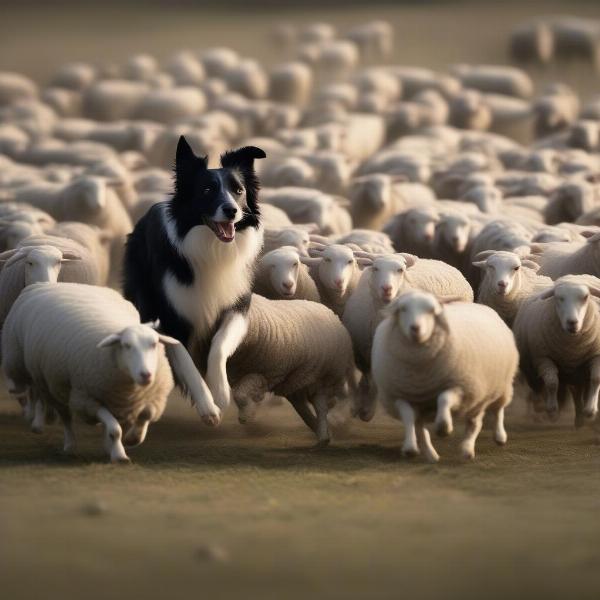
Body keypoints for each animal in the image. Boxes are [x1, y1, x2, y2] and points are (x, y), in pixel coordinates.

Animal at [122, 135, 264, 408]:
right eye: (207, 190)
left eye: (238, 191)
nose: (232, 210)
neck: (212, 250)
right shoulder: (169, 317)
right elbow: (186, 363)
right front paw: (207, 404)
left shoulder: (237, 307)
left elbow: (219, 344)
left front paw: (220, 390)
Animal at [372, 292, 516, 462]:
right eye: (403, 309)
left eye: (431, 311)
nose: (415, 328)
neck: (420, 376)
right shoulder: (399, 396)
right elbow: (408, 417)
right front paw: (410, 448)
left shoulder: (460, 387)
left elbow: (444, 399)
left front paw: (443, 427)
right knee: (421, 428)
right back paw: (432, 454)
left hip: (497, 386)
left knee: (492, 413)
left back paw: (488, 440)